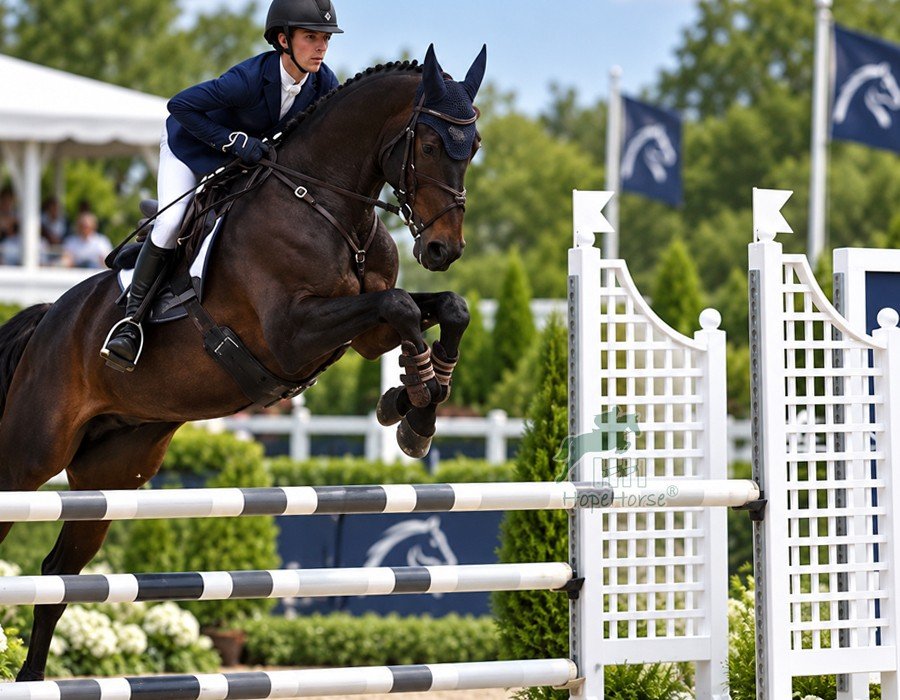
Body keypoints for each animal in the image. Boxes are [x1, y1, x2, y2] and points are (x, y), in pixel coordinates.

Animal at [0, 44, 485, 681]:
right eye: (428, 145)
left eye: (472, 147)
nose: (441, 249)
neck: (327, 204)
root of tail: (46, 321)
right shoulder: (292, 334)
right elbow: (402, 306)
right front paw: (414, 406)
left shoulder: (364, 335)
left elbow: (443, 308)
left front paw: (411, 406)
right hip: (31, 456)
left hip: (111, 473)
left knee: (58, 577)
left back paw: (32, 679)